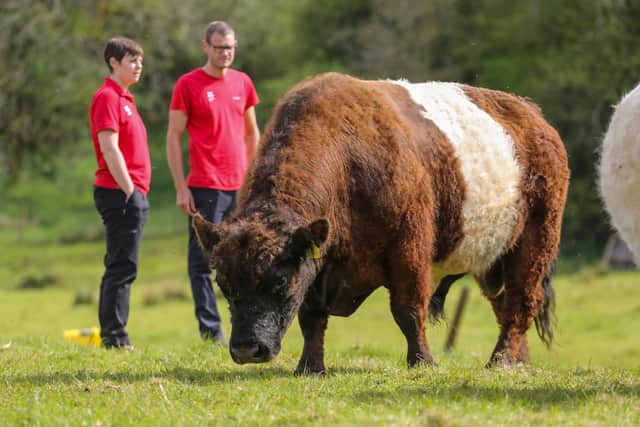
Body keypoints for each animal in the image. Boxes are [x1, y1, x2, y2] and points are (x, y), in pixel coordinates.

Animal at [191, 72, 568, 372]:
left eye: (280, 280)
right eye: (223, 283)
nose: (246, 348)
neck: (346, 160)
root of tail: (534, 117)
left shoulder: (409, 250)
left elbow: (408, 311)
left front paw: (422, 362)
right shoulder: (319, 260)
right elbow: (311, 318)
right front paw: (310, 367)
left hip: (535, 245)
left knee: (521, 303)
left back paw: (500, 361)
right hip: (493, 262)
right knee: (506, 307)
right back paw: (518, 361)